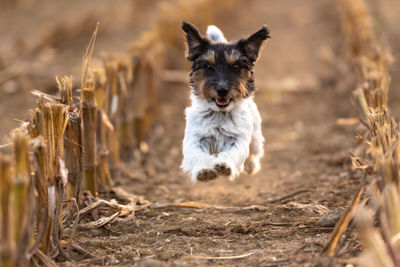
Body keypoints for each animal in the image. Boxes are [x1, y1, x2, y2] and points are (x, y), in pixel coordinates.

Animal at [180, 22, 268, 183]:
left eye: (236, 66)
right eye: (208, 67)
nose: (222, 90)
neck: (219, 114)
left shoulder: (238, 138)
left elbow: (234, 152)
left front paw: (224, 165)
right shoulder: (195, 138)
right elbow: (197, 154)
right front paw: (204, 171)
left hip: (255, 137)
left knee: (254, 151)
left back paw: (251, 166)